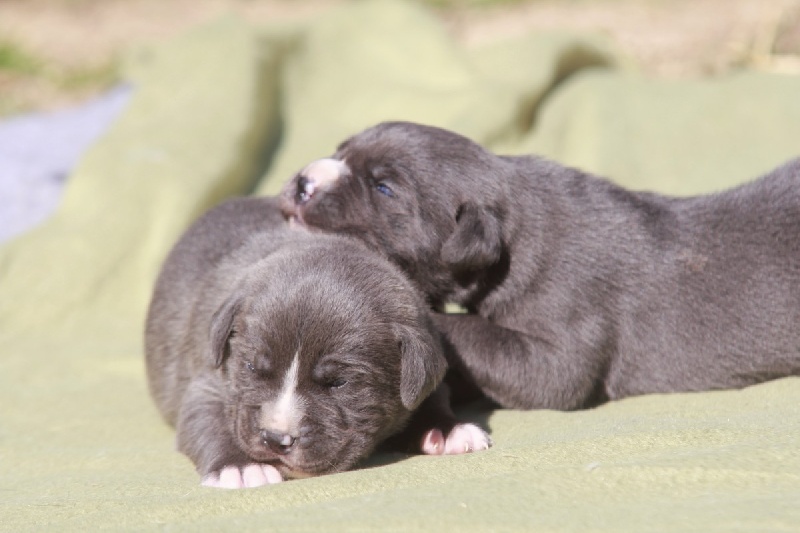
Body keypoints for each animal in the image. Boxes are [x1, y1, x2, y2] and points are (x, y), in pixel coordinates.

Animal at [146, 197, 490, 488]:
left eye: (339, 383)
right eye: (251, 368)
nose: (276, 438)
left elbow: (431, 396)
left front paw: (448, 429)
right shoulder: (207, 384)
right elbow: (209, 422)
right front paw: (240, 467)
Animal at [280, 120, 800, 410]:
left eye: (384, 187)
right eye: (340, 150)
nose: (302, 182)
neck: (517, 228)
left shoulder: (562, 343)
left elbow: (486, 341)